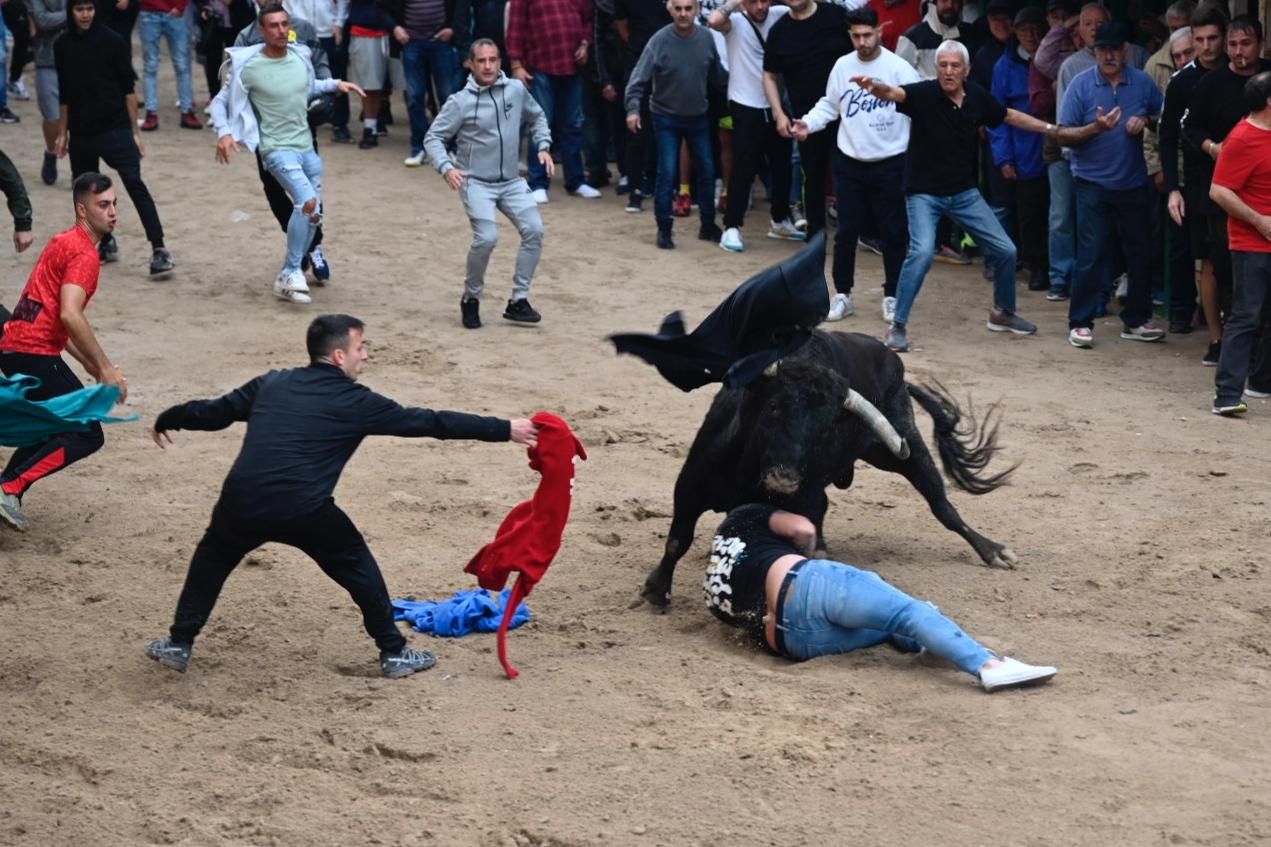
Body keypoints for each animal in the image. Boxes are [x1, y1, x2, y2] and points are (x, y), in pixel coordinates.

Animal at [640, 324, 1016, 607]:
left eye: (825, 428)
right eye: (774, 407)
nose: (784, 480)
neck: (749, 471)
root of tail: (900, 373)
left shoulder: (799, 500)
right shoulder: (689, 487)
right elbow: (677, 541)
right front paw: (654, 592)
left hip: (902, 449)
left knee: (941, 504)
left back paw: (994, 551)